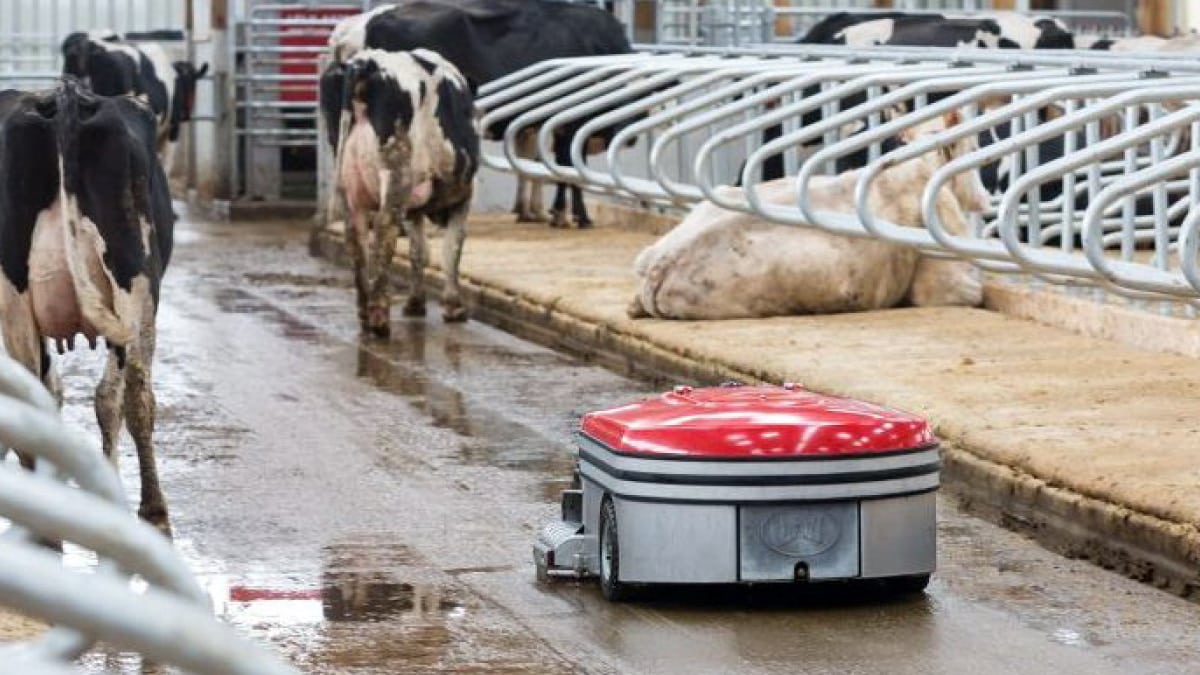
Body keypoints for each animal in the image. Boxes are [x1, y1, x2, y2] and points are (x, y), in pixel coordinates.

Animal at [0, 77, 176, 530]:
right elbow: (106, 399)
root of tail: (63, 98)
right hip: (136, 279)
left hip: (19, 296)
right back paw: (152, 509)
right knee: (135, 394)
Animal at [326, 48, 480, 333]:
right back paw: (379, 317)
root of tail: (365, 62)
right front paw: (454, 307)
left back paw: (365, 313)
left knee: (356, 239)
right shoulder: (462, 198)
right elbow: (451, 249)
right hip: (397, 175)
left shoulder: (413, 208)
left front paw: (416, 303)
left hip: (349, 186)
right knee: (383, 233)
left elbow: (418, 252)